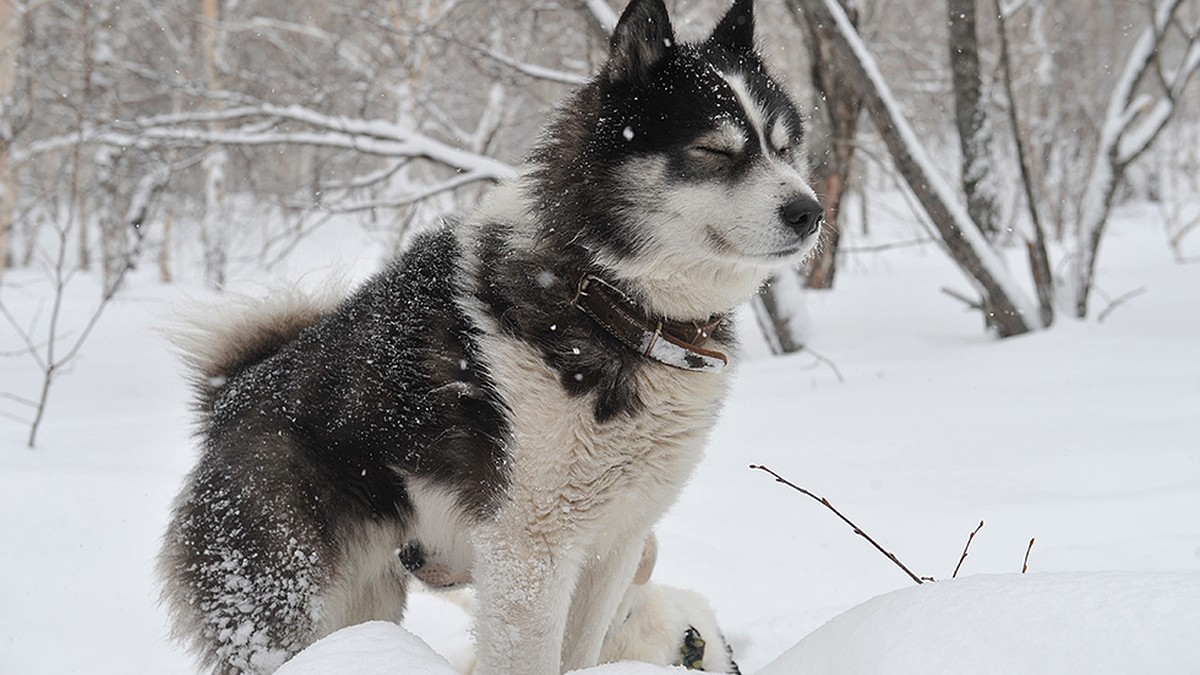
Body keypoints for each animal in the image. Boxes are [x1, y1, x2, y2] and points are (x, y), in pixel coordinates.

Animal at [159, 1, 820, 672]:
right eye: (714, 149)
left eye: (785, 147)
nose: (810, 212)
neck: (604, 296)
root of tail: (233, 393)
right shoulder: (529, 552)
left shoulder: (612, 546)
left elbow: (582, 652)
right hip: (285, 604)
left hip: (368, 600)